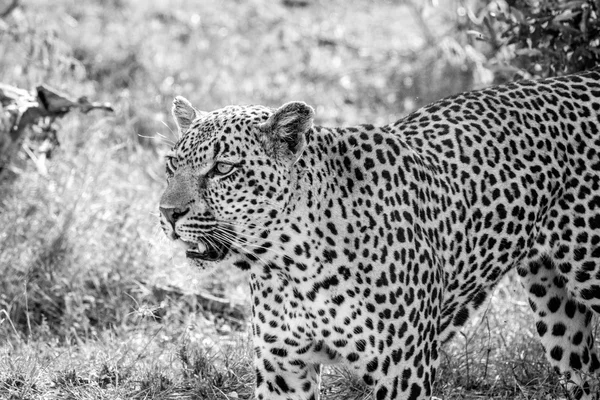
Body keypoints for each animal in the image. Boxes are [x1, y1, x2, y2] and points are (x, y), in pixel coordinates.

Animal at [159, 69, 600, 400]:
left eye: (223, 168)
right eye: (172, 164)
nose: (168, 213)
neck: (290, 262)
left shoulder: (404, 372)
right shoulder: (282, 368)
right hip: (554, 305)